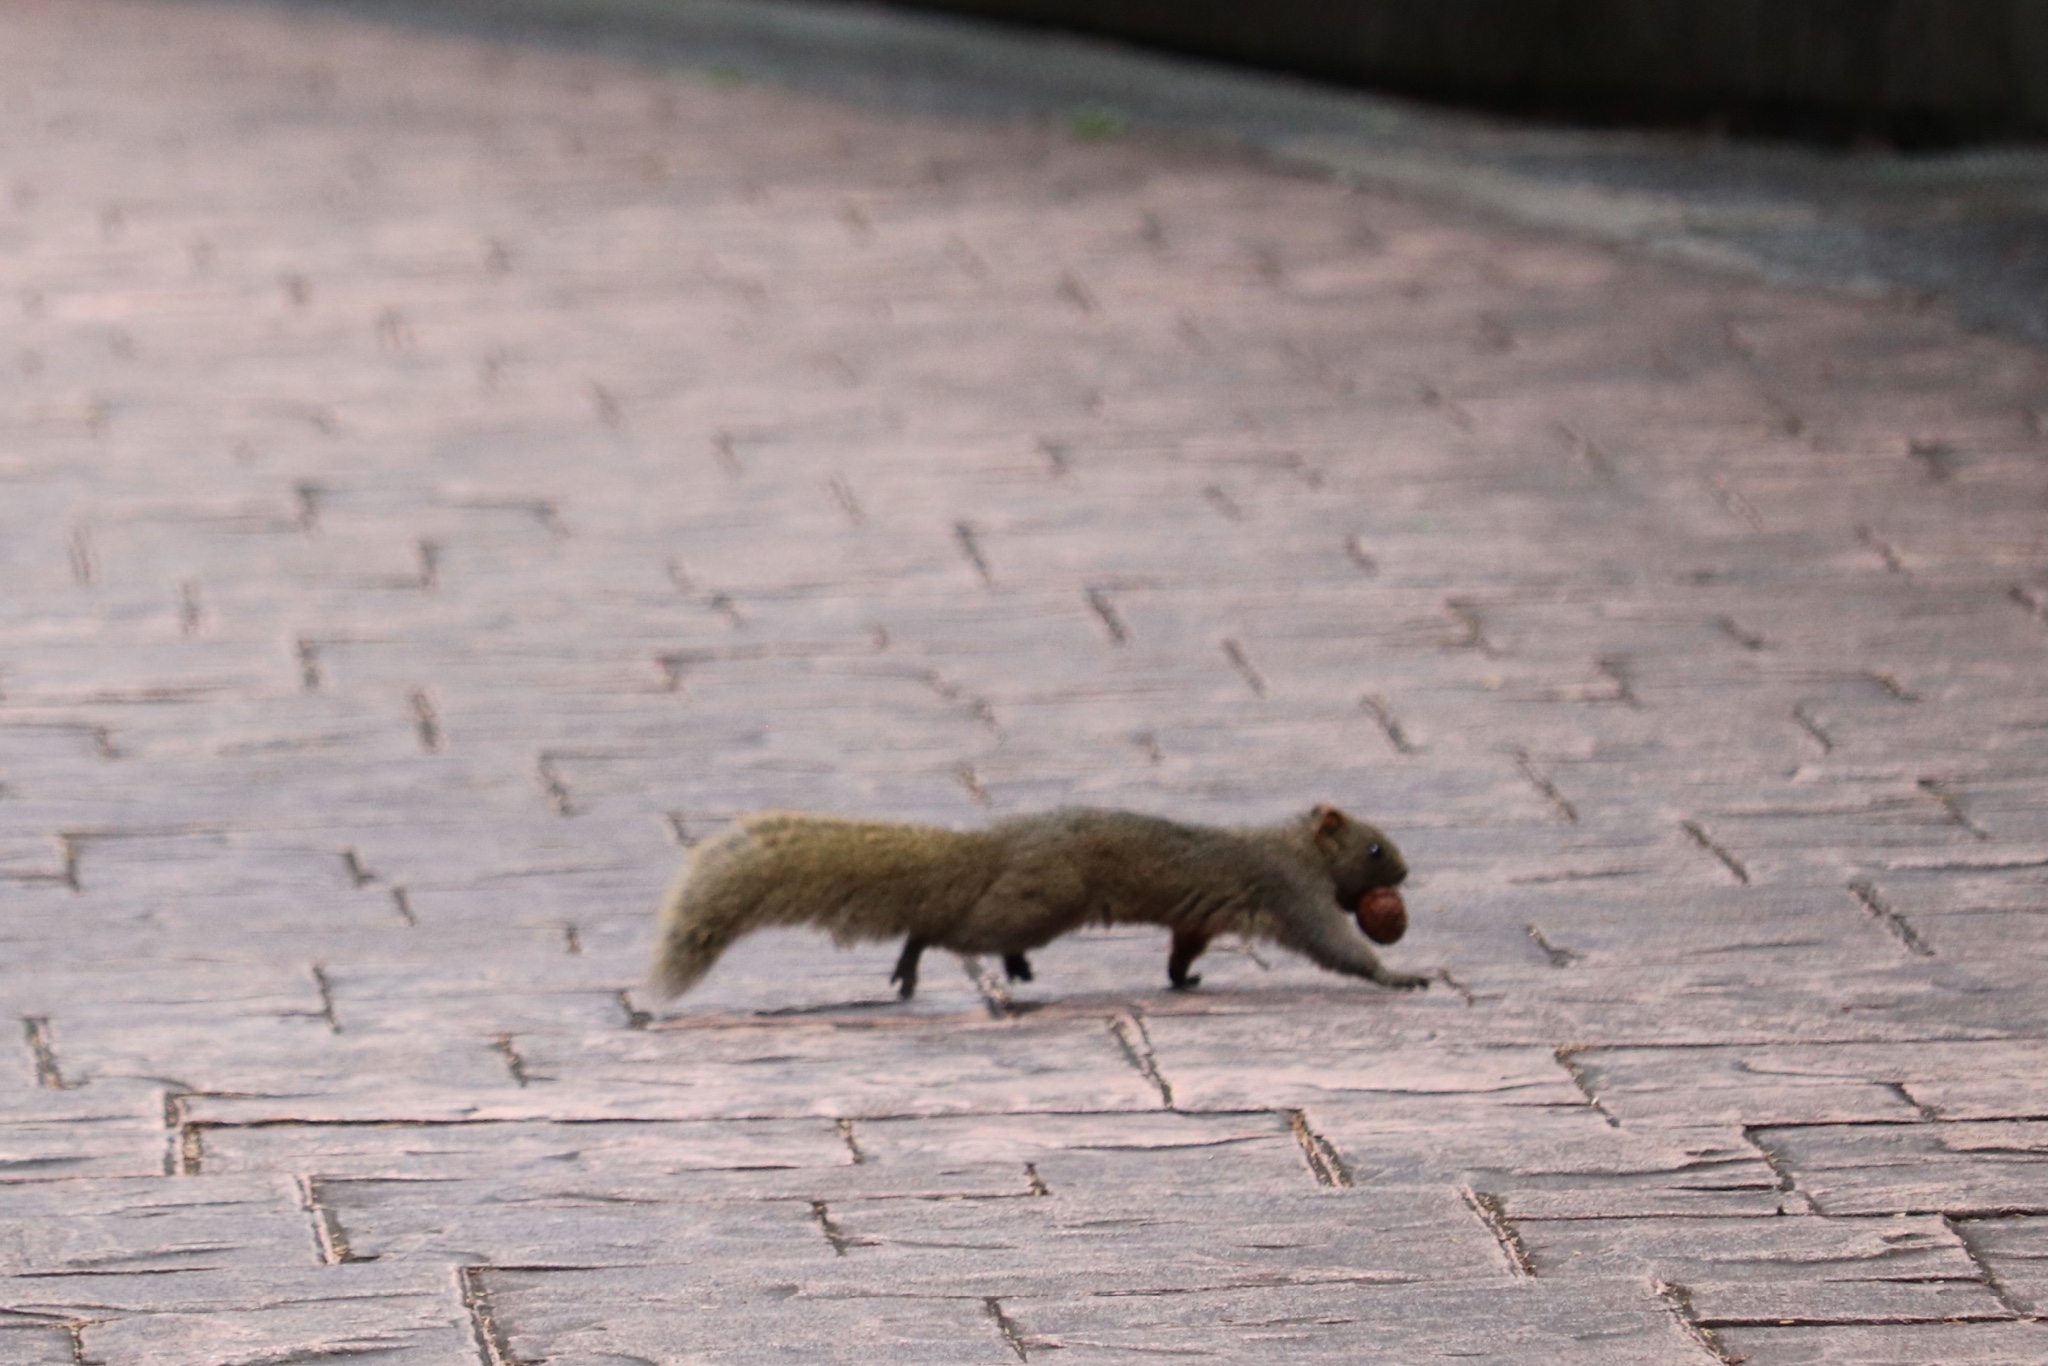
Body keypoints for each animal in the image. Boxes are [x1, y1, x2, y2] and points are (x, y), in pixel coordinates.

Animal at [655, 802, 1425, 1003]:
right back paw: (920, 959)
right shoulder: (1292, 890)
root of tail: (996, 843)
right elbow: (1334, 945)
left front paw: (1183, 978)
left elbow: (1185, 942)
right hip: (1045, 899)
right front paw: (1402, 975)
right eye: (1375, 849)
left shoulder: (1197, 917)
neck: (1296, 845)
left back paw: (1015, 968)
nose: (1407, 871)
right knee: (945, 928)